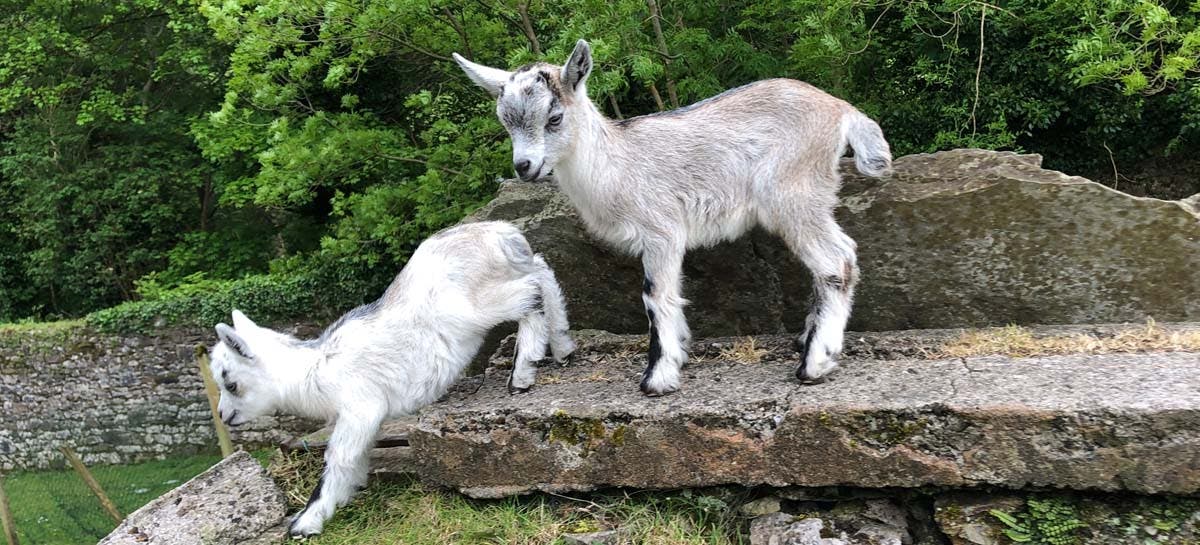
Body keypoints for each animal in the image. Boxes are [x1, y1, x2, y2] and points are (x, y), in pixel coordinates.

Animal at [208, 220, 574, 537]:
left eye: (230, 381)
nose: (225, 415)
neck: (314, 369)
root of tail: (501, 234)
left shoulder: (360, 407)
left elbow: (337, 458)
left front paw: (306, 522)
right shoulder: (363, 419)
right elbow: (355, 459)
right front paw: (345, 496)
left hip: (474, 307)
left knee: (531, 290)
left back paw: (523, 371)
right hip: (507, 274)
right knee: (542, 270)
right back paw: (562, 346)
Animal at [455, 40, 891, 396]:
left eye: (554, 117)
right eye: (505, 122)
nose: (524, 167)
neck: (617, 164)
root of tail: (841, 110)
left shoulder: (660, 229)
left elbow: (654, 296)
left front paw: (657, 379)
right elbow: (671, 293)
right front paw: (679, 352)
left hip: (793, 191)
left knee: (836, 260)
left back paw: (815, 363)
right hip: (810, 195)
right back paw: (807, 340)